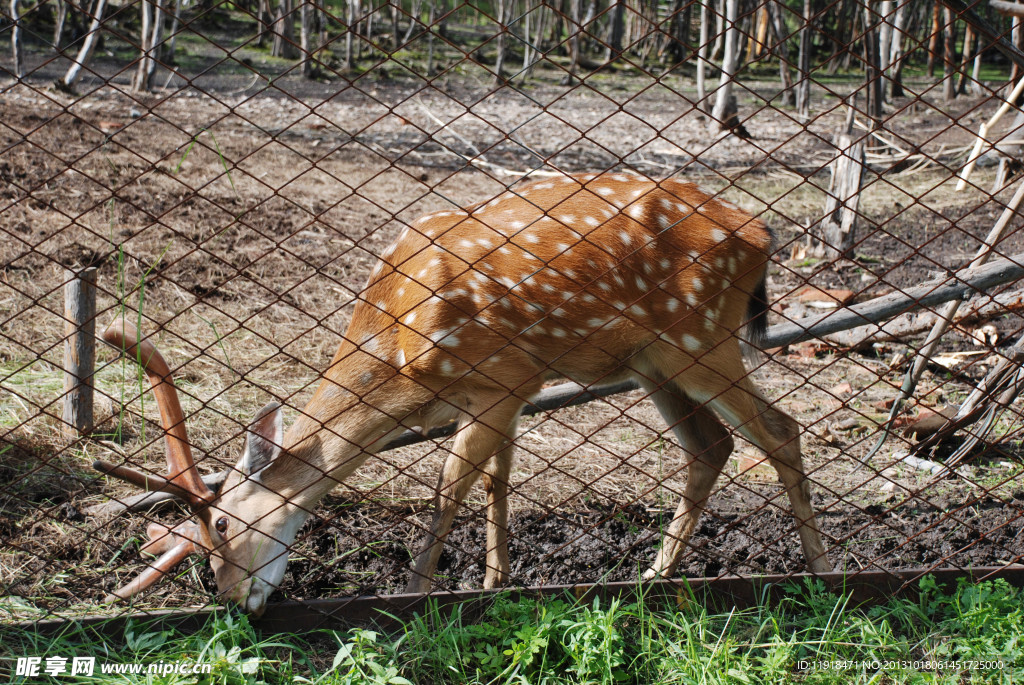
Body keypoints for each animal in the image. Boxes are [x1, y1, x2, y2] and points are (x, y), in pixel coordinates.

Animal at [96, 175, 831, 614]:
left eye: (221, 523)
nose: (229, 600)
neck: (399, 355)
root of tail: (762, 232)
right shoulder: (506, 390)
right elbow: (497, 480)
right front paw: (492, 581)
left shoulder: (503, 375)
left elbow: (450, 487)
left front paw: (415, 593)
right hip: (653, 360)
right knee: (712, 445)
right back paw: (655, 575)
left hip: (700, 337)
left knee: (780, 430)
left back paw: (822, 572)